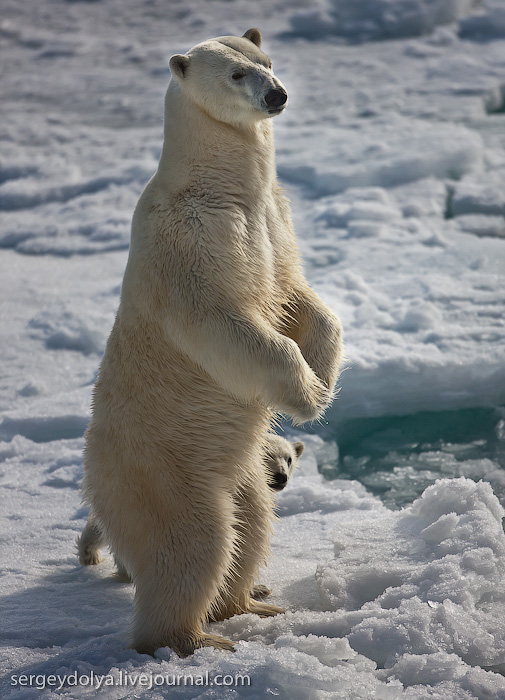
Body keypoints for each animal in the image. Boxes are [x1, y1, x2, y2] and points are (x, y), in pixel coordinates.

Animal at [81, 28, 342, 656]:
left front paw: (323, 379)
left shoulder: (274, 217)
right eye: (235, 74)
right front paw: (305, 397)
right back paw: (189, 639)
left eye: (265, 61)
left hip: (240, 467)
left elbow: (297, 295)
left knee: (251, 522)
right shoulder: (191, 240)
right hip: (160, 468)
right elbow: (219, 319)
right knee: (195, 541)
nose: (276, 95)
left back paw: (250, 604)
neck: (219, 185)